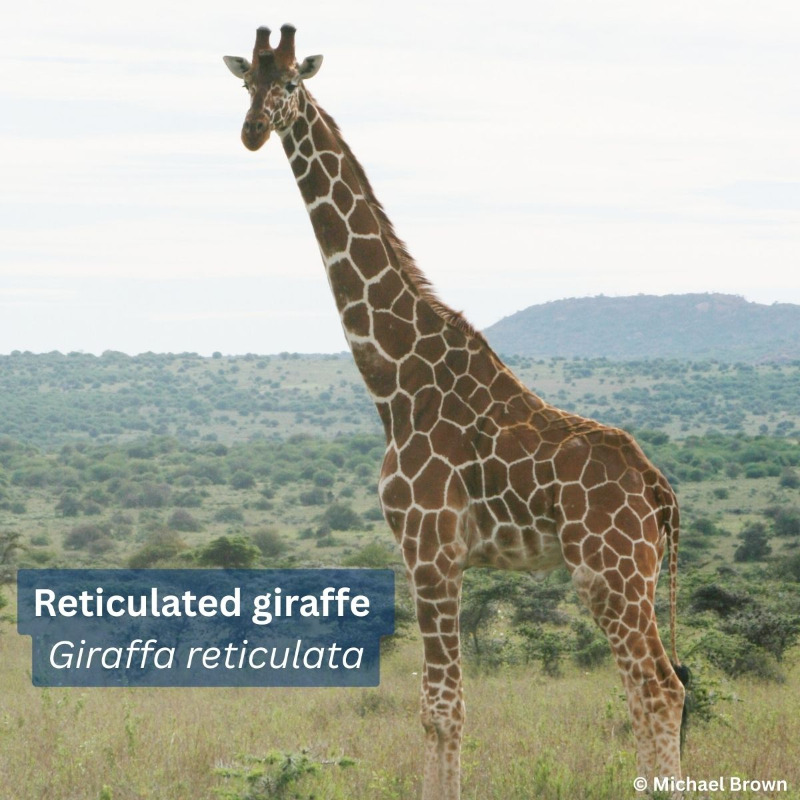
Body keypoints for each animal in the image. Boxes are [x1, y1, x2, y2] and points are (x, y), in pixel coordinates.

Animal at [223, 25, 688, 799]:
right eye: (244, 83)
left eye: (290, 82)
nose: (254, 131)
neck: (393, 377)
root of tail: (659, 489)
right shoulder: (438, 555)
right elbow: (445, 706)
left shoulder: (430, 548)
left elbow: (441, 707)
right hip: (632, 577)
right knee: (657, 687)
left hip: (611, 573)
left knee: (657, 689)